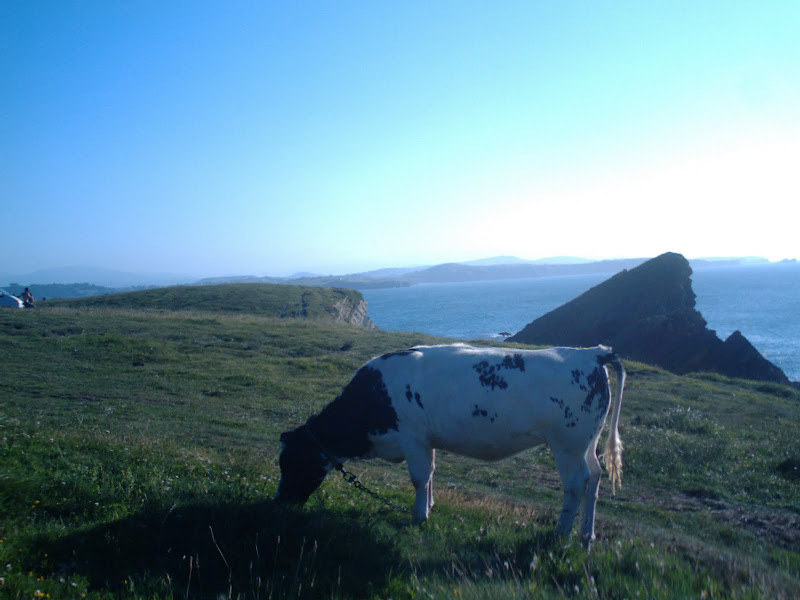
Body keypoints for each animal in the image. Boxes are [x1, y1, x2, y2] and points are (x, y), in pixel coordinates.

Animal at [278, 342, 628, 548]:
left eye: (290, 462)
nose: (281, 502)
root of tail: (591, 352)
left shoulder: (412, 437)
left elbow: (419, 478)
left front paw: (418, 517)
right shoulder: (426, 439)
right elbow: (431, 475)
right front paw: (429, 507)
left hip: (567, 443)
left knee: (576, 483)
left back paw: (561, 532)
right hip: (586, 442)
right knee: (595, 477)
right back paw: (586, 534)